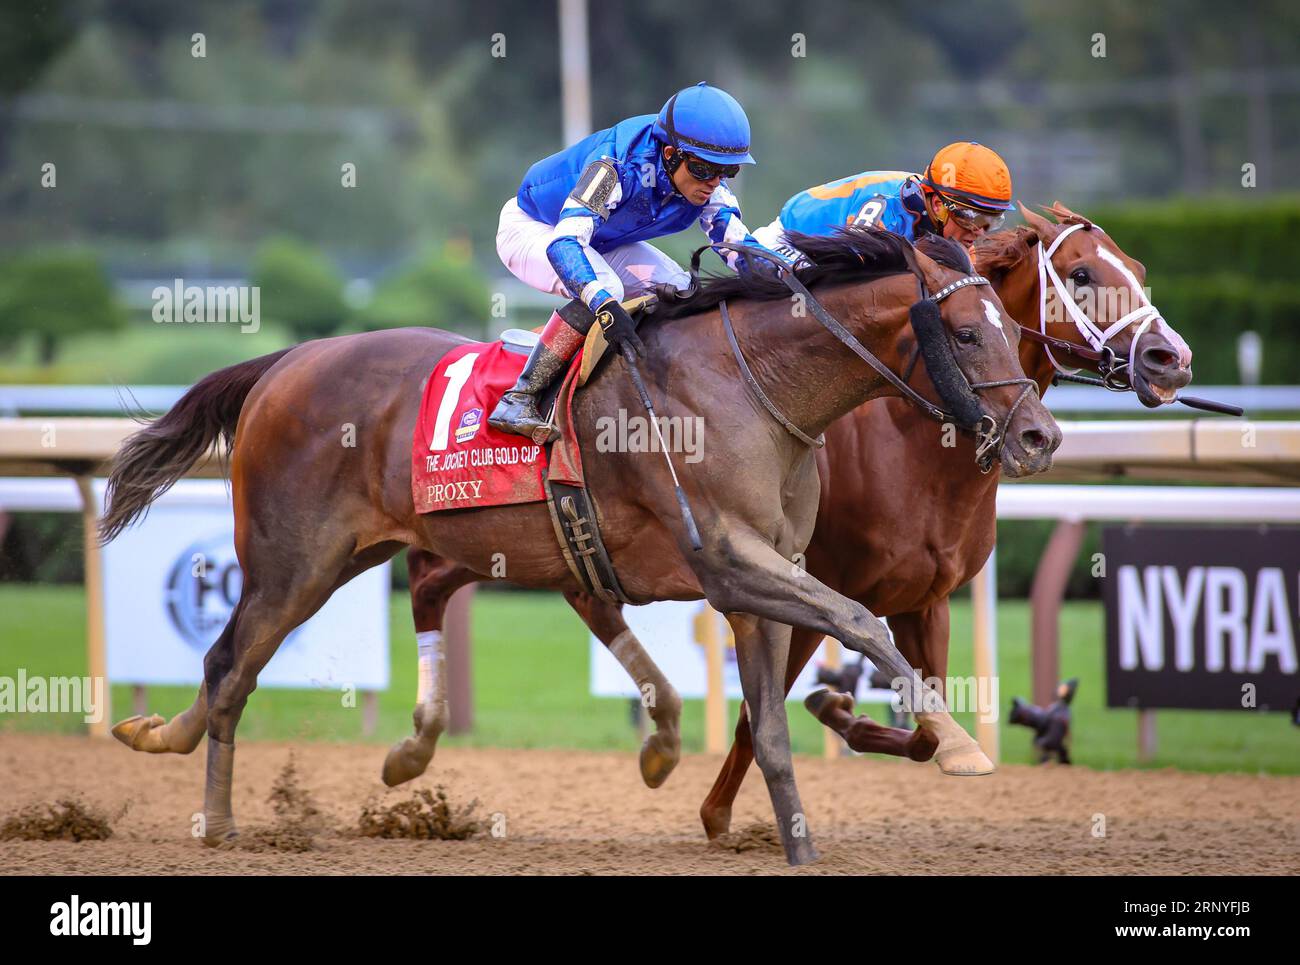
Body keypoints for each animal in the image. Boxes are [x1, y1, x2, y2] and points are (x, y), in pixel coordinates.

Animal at [98, 228, 1055, 868]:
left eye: (1012, 330)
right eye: (966, 334)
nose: (1040, 436)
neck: (755, 387)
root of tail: (282, 362)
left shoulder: (765, 579)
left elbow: (772, 724)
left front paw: (796, 843)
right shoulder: (729, 561)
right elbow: (862, 621)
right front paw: (957, 743)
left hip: (370, 550)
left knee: (302, 638)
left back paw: (160, 733)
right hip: (292, 563)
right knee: (229, 665)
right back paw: (218, 820)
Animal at [400, 198, 1190, 837]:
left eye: (1139, 266)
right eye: (1081, 275)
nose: (1170, 359)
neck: (908, 440)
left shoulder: (925, 598)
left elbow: (925, 720)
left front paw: (848, 718)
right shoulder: (802, 581)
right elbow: (763, 709)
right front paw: (726, 808)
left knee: (513, 586)